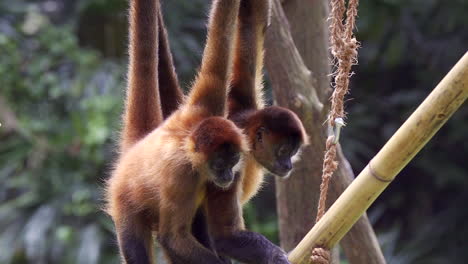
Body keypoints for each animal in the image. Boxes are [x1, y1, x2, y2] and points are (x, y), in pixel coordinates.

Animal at [105, 0, 249, 264]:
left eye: (233, 159)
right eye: (219, 163)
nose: (227, 175)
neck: (188, 147)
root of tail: (134, 149)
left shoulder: (206, 106)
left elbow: (221, 33)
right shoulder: (180, 175)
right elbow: (173, 238)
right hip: (125, 202)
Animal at [154, 0, 308, 262]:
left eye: (293, 151)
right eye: (283, 151)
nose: (288, 165)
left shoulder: (242, 102)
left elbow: (253, 22)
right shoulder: (229, 162)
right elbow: (225, 236)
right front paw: (277, 257)